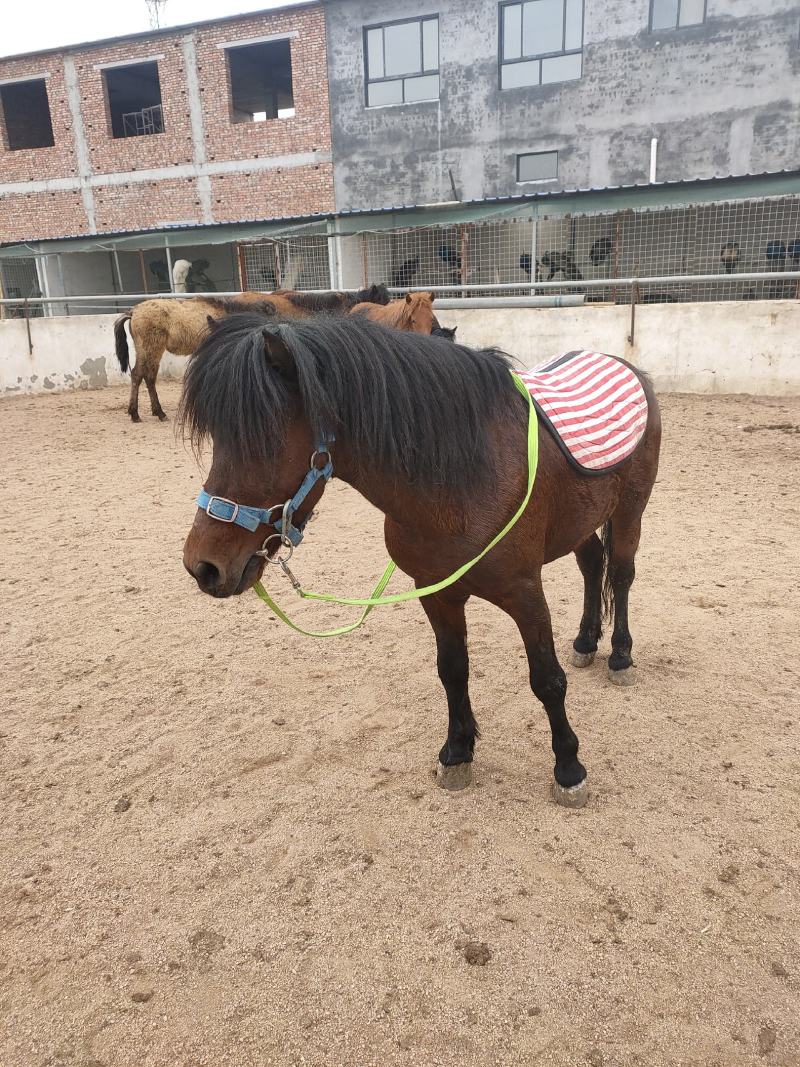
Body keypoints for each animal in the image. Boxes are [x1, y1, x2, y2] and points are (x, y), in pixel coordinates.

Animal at [113, 285, 390, 422]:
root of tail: (134, 311)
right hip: (151, 348)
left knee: (146, 377)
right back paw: (140, 413)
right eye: (382, 301)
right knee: (140, 375)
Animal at [180, 314, 661, 807]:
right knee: (592, 565)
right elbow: (452, 671)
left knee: (621, 574)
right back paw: (586, 641)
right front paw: (458, 752)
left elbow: (547, 680)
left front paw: (568, 769)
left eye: (265, 443)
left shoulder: (526, 594)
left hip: (630, 510)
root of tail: (626, 366)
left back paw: (620, 656)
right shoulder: (437, 593)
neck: (465, 479)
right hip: (581, 520)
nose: (203, 566)